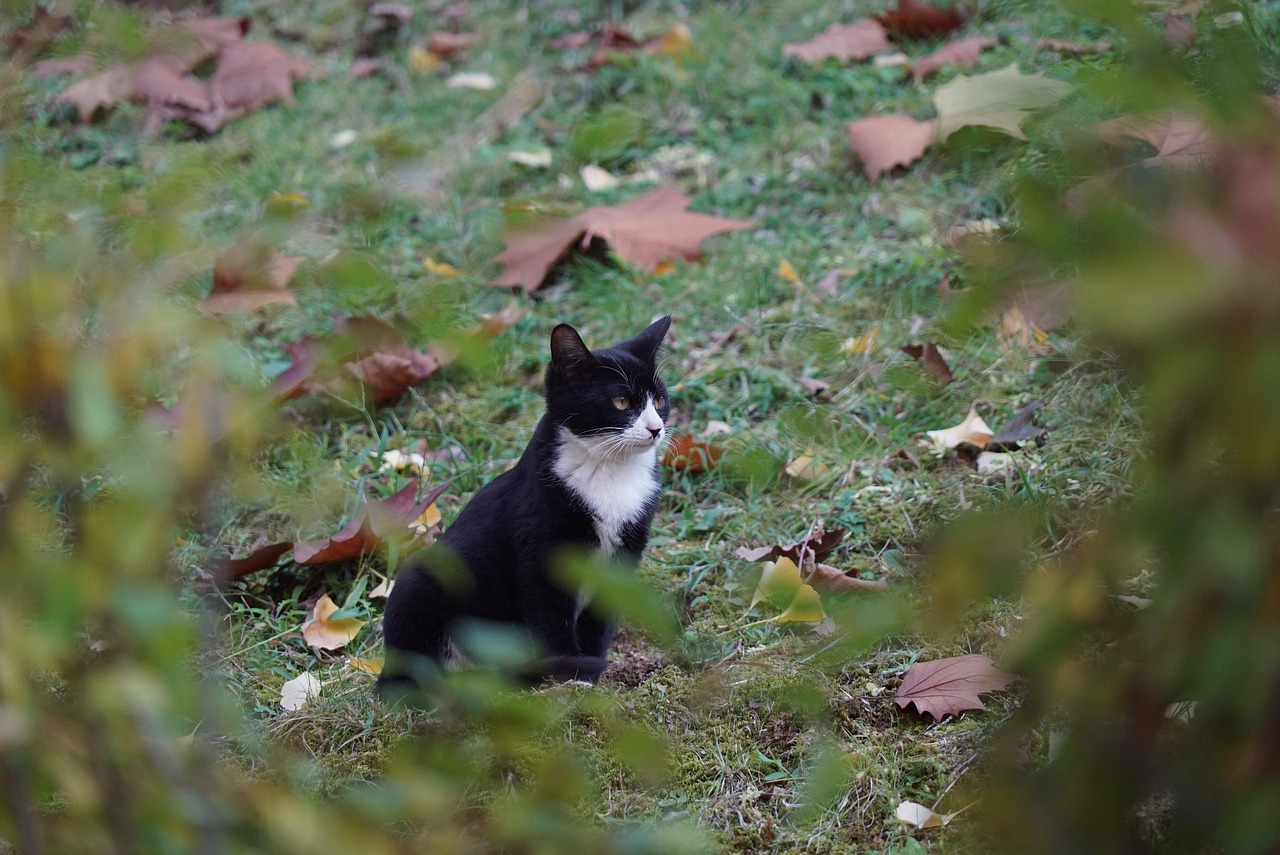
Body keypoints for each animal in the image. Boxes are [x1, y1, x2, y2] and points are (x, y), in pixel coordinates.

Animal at [376, 317, 670, 696]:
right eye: (621, 402)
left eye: (660, 400)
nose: (656, 428)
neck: (609, 471)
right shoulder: (541, 540)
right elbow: (549, 613)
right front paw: (573, 677)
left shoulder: (627, 547)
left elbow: (602, 614)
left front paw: (589, 675)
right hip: (422, 580)